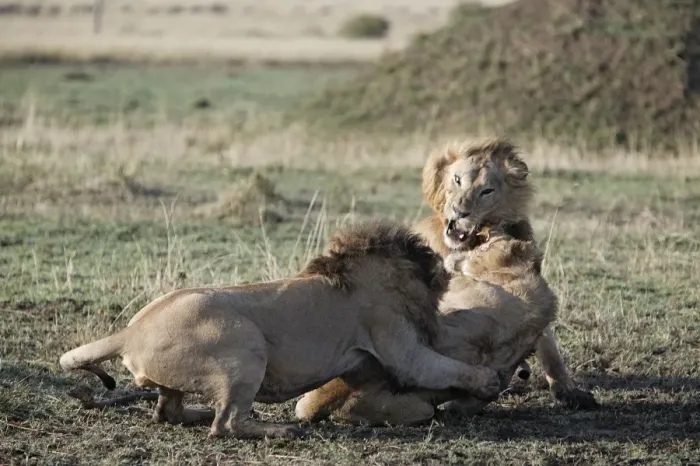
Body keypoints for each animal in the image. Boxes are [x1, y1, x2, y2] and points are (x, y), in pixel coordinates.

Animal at [59, 220, 503, 439]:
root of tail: (129, 332)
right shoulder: (401, 349)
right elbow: (448, 369)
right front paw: (491, 381)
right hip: (246, 347)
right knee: (227, 425)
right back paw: (280, 430)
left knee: (169, 412)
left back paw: (200, 413)